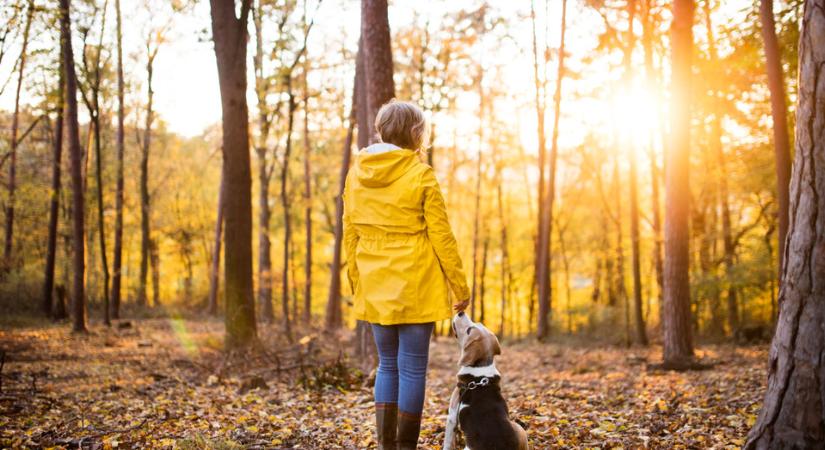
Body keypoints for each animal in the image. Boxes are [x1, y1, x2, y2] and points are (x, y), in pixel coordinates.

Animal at [444, 312, 528, 450]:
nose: (461, 312)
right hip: (519, 428)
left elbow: (447, 442)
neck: (481, 366)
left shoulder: (451, 416)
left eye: (469, 330)